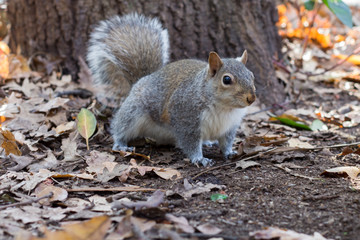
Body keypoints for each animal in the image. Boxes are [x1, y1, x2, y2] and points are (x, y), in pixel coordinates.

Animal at [87, 13, 256, 167]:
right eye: (226, 80)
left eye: (251, 75)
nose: (251, 98)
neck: (224, 107)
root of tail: (142, 79)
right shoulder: (185, 117)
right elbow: (190, 142)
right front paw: (199, 159)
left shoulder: (230, 125)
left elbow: (226, 141)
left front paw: (229, 152)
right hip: (133, 112)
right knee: (121, 127)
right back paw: (120, 144)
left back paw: (207, 142)